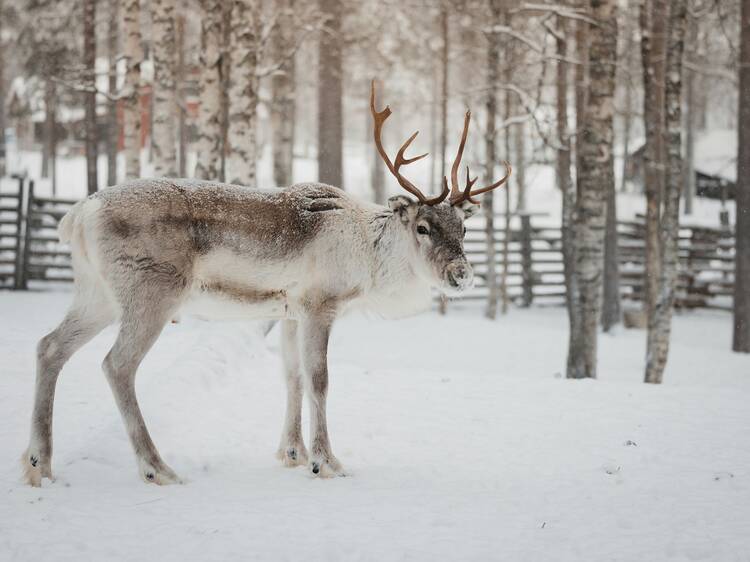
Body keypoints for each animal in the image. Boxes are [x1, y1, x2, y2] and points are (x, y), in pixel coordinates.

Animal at [22, 82, 511, 486]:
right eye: (424, 227)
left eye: (463, 228)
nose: (462, 275)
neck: (368, 258)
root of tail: (77, 215)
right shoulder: (319, 304)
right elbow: (319, 379)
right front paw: (326, 461)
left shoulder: (289, 311)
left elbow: (291, 376)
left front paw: (292, 452)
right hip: (151, 292)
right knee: (117, 364)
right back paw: (156, 468)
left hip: (96, 294)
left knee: (49, 346)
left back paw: (37, 464)